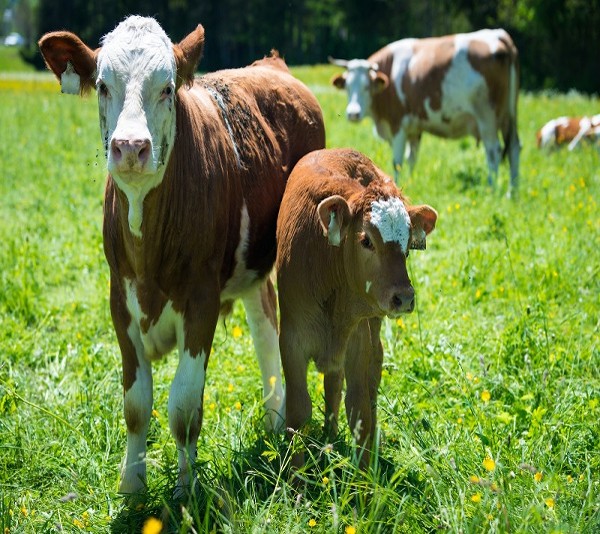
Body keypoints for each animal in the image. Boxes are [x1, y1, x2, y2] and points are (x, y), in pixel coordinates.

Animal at [39, 14, 326, 496]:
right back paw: (274, 418)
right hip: (250, 268)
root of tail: (273, 66)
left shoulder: (201, 300)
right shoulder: (119, 298)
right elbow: (136, 403)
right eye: (102, 85)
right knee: (263, 323)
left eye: (167, 88)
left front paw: (186, 489)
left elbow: (184, 406)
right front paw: (132, 485)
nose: (130, 147)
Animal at [276, 149, 436, 472]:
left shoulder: (358, 337)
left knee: (370, 376)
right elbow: (298, 409)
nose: (404, 297)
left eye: (407, 245)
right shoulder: (291, 339)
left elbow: (360, 408)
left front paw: (365, 479)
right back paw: (329, 433)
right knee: (333, 382)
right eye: (366, 240)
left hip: (372, 328)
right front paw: (296, 479)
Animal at [328, 29, 520, 197]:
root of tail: (498, 35)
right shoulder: (414, 129)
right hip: (509, 116)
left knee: (493, 151)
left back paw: (492, 188)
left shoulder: (398, 125)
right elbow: (411, 159)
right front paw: (410, 183)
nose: (353, 113)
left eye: (367, 87)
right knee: (514, 148)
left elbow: (397, 162)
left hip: (487, 117)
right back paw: (512, 192)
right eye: (347, 86)